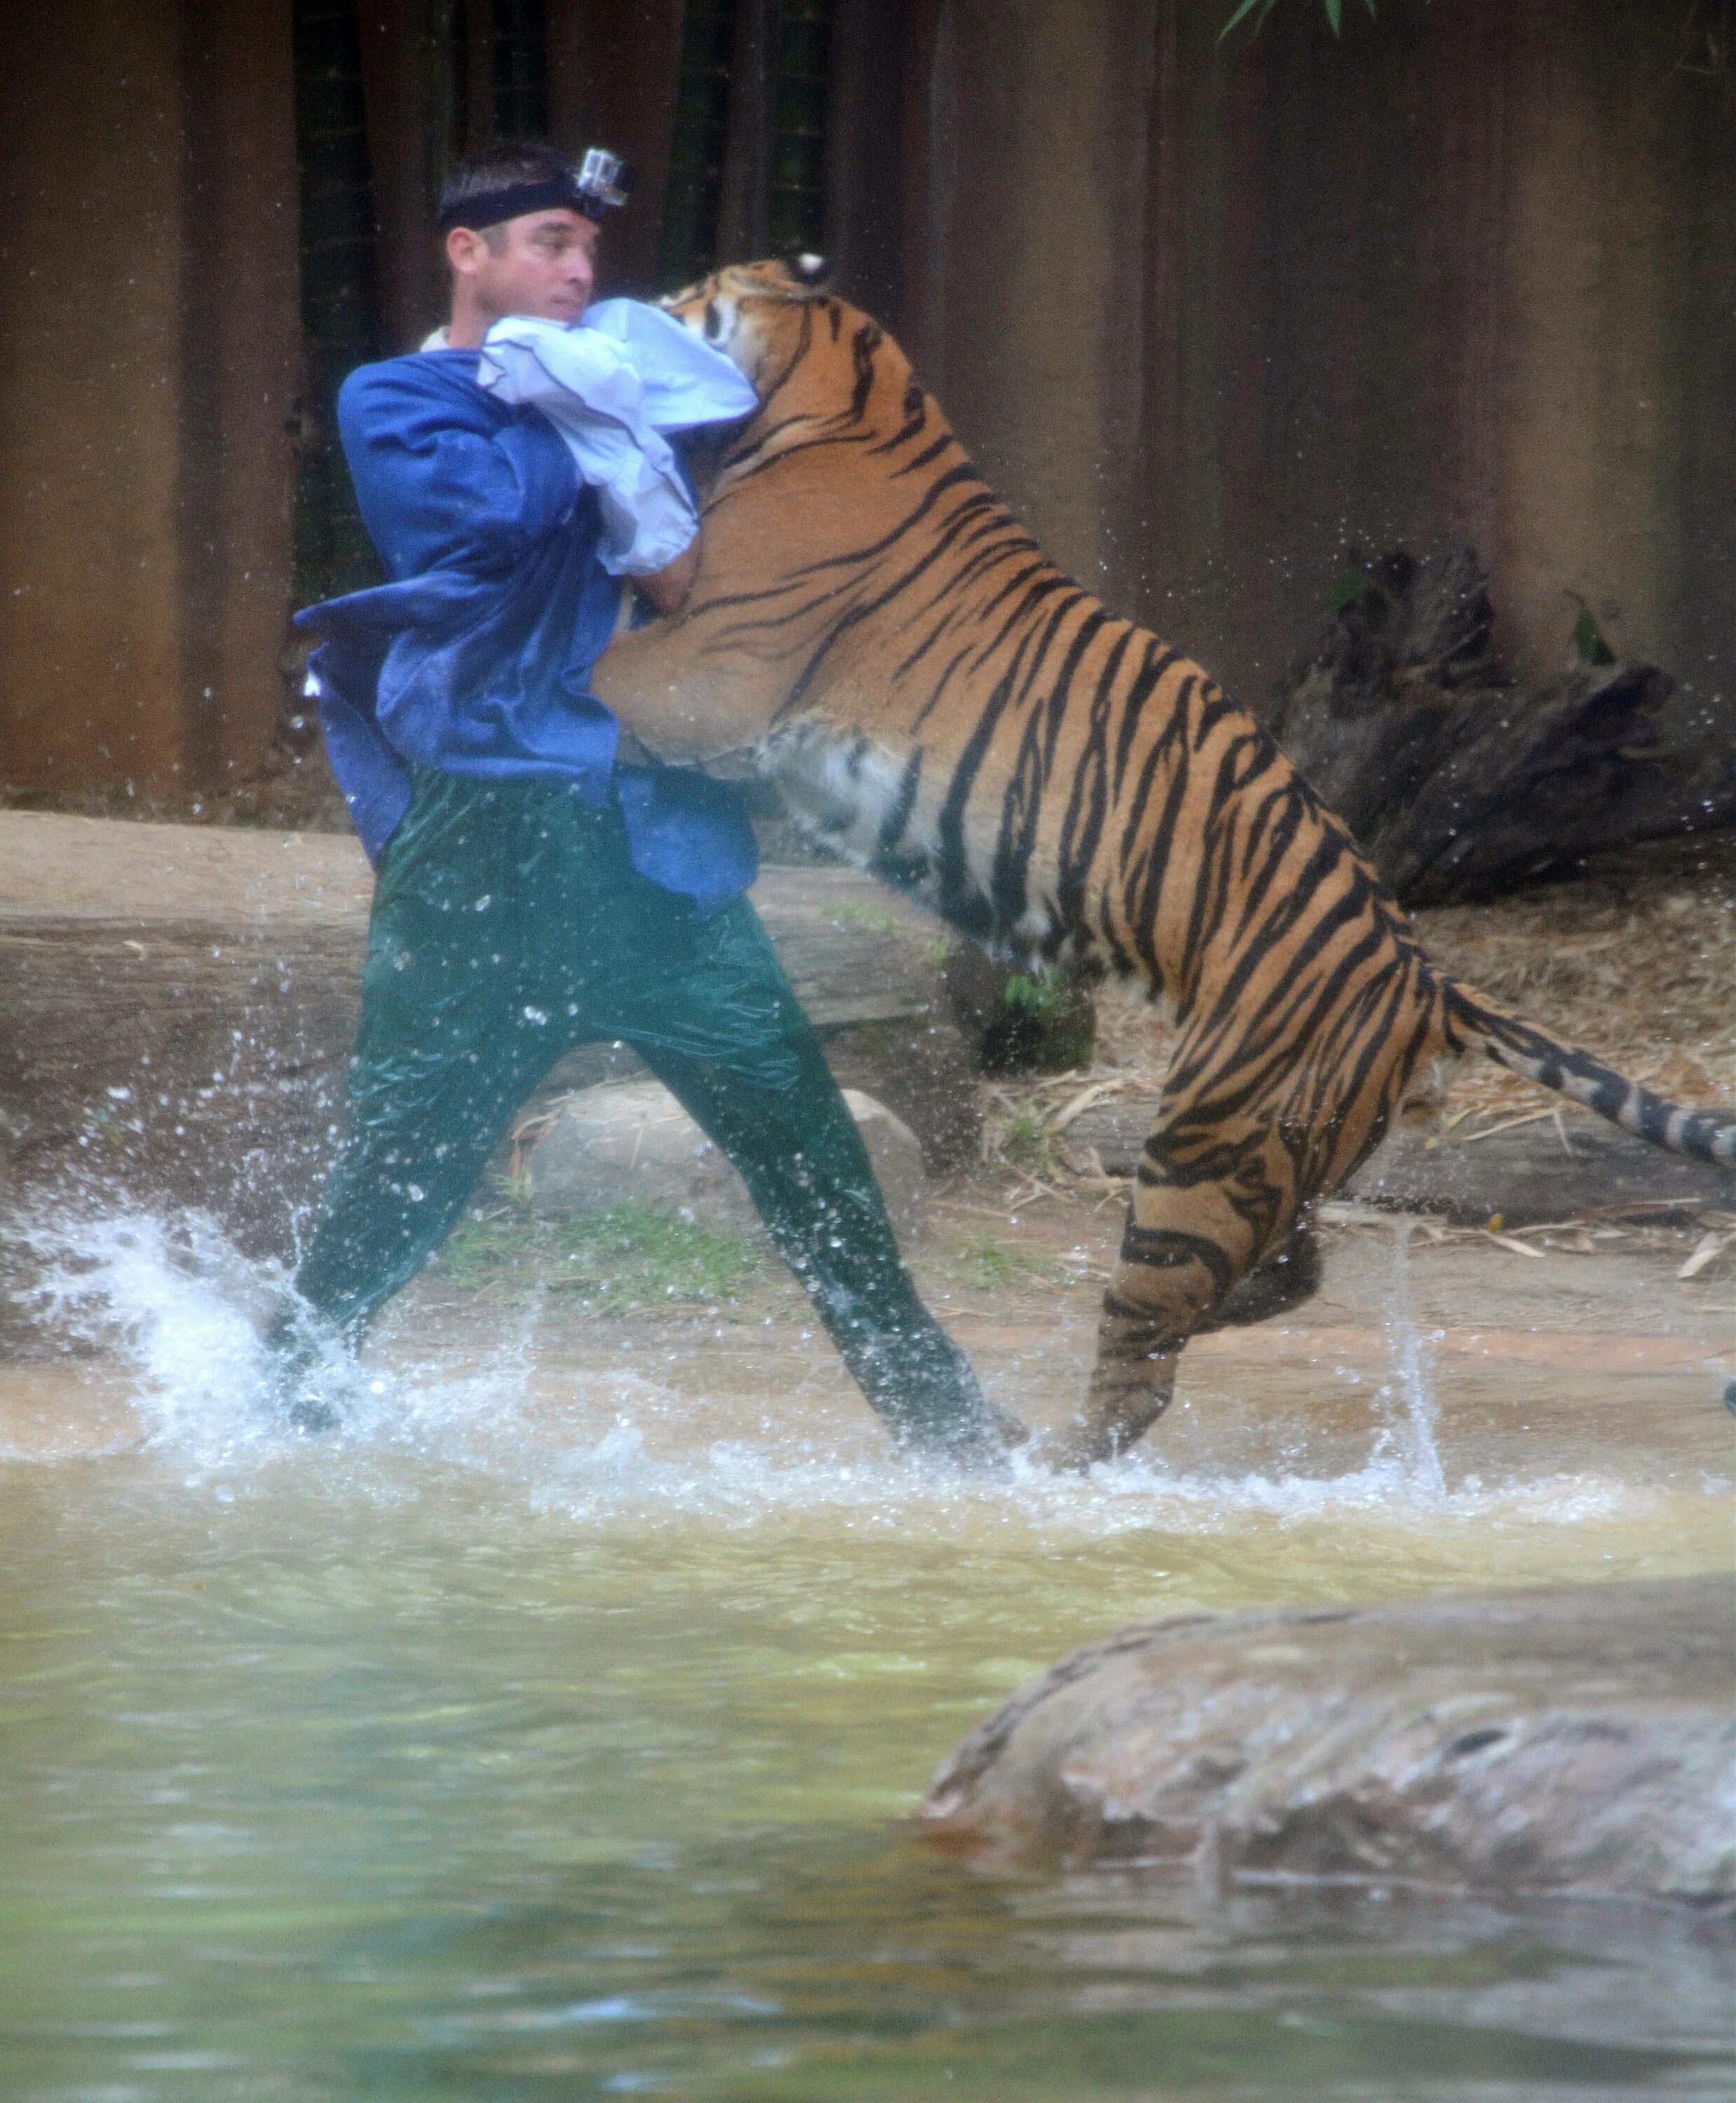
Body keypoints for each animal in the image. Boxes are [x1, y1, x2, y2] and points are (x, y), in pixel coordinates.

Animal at [588, 254, 1723, 1472]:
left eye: (695, 295)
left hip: (1203, 1148)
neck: (846, 390)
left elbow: (591, 666)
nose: (632, 304)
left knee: (1143, 1360)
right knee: (1279, 1273)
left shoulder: (707, 672)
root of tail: (1429, 985)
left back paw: (1046, 1463)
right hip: (1279, 1156)